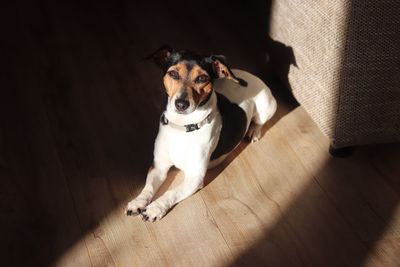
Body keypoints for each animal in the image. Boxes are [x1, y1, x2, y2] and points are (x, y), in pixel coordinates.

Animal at [125, 47, 276, 223]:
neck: (182, 127)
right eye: (173, 73)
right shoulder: (159, 165)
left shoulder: (195, 177)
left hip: (266, 109)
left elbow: (171, 193)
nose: (181, 104)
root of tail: (252, 76)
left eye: (202, 78)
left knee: (260, 121)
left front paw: (155, 208)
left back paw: (254, 131)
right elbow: (148, 187)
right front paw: (138, 201)